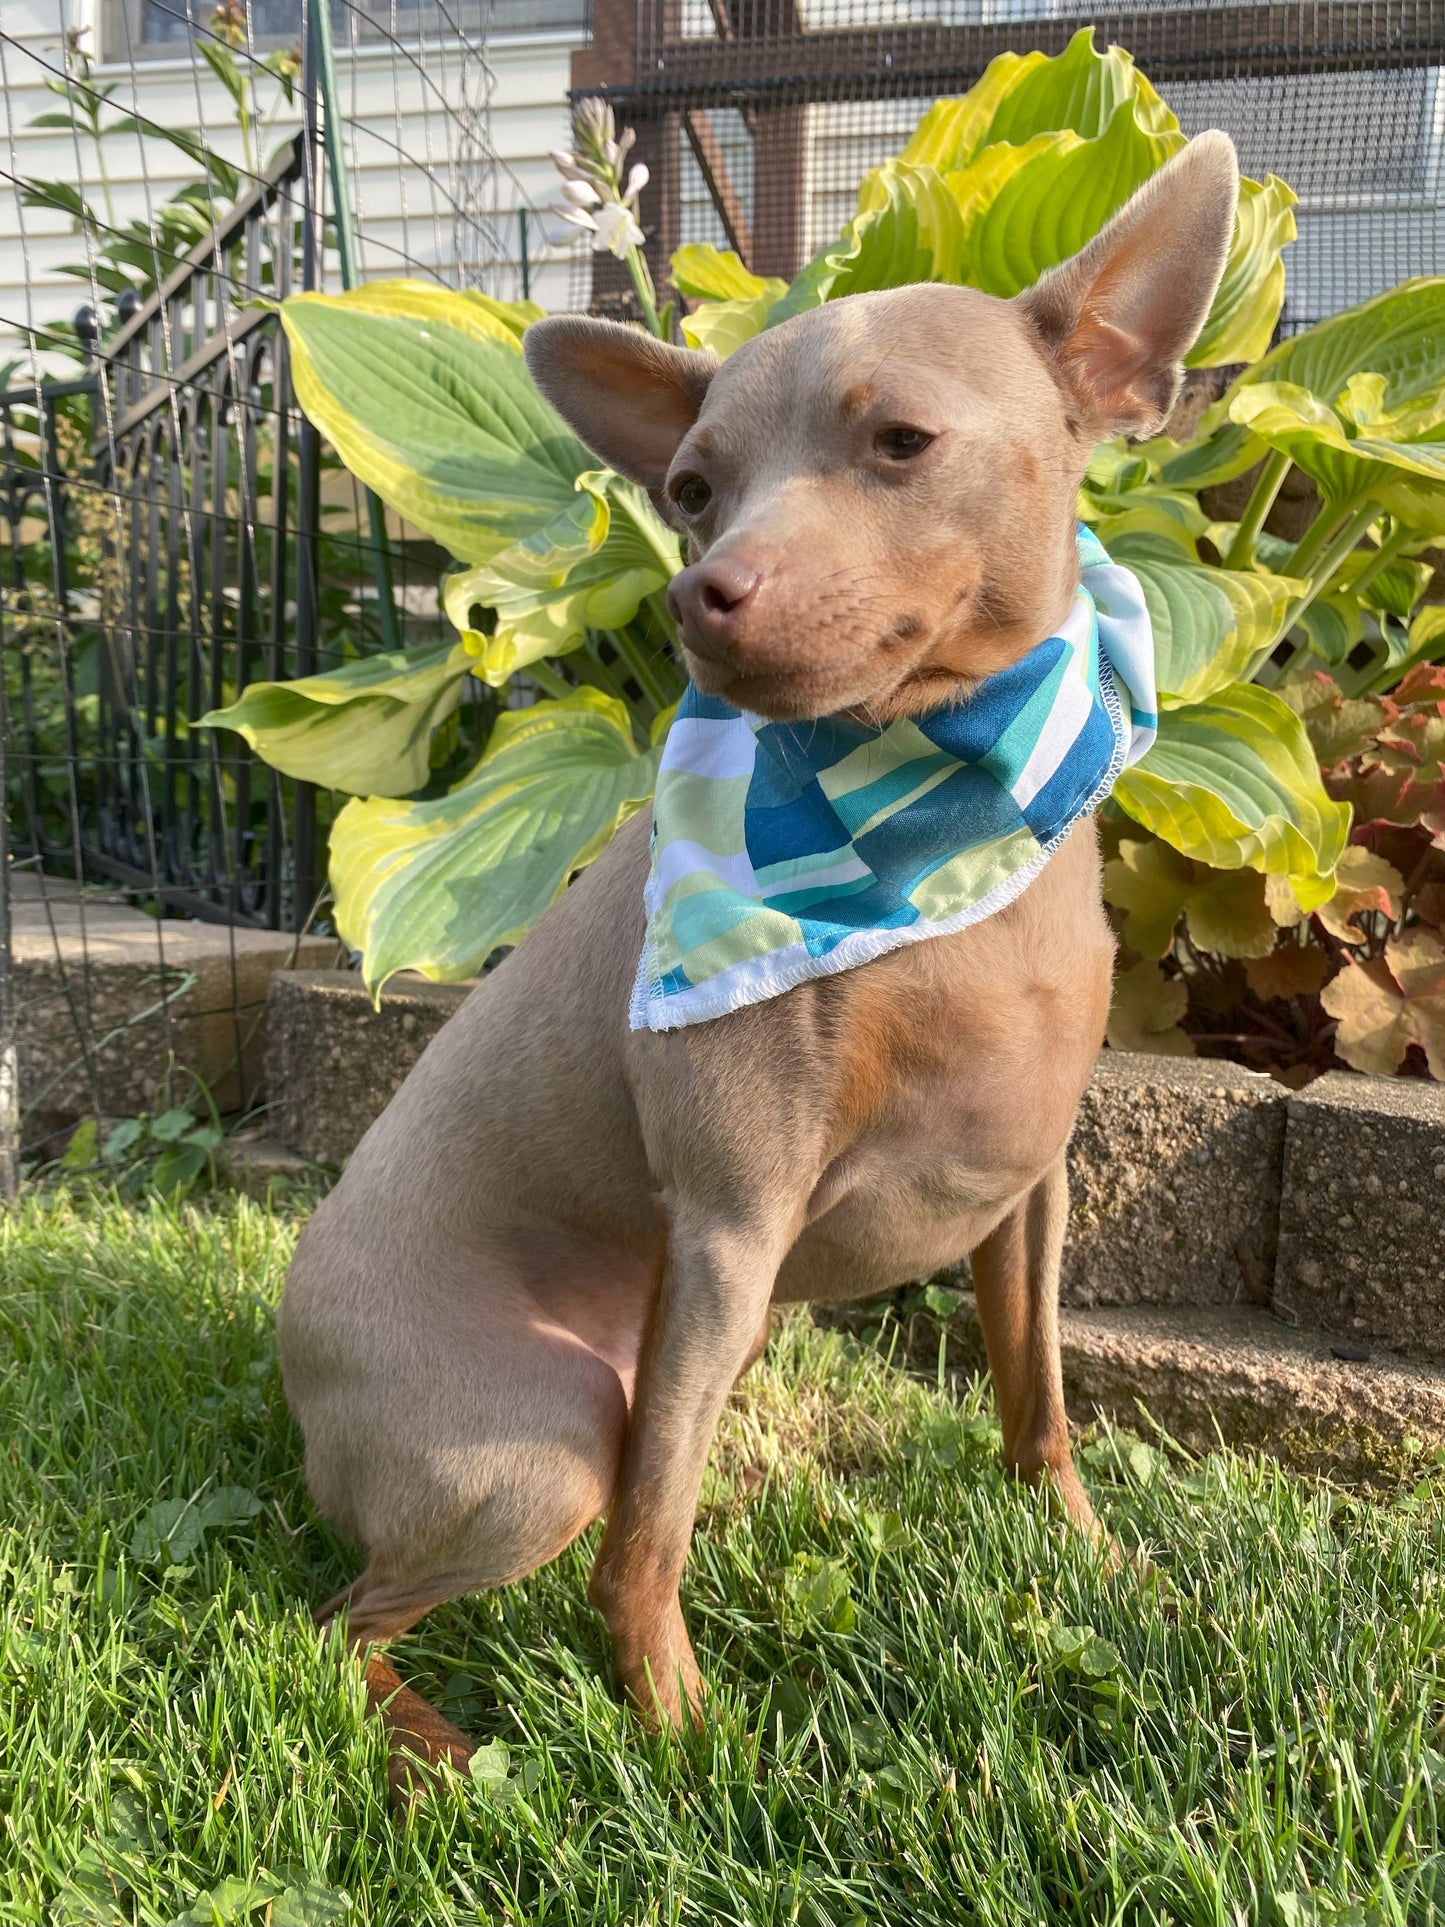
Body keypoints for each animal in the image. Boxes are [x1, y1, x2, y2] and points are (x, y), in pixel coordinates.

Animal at [283, 131, 1248, 1788]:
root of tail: (293, 1338)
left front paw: (1089, 1555)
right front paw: (675, 1729)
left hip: (650, 1368)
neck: (940, 818)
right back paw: (440, 1753)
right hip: (542, 1439)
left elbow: (1038, 1399)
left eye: (903, 442)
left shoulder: (1028, 1197)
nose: (693, 591)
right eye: (689, 490)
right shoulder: (732, 1225)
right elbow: (641, 1555)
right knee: (355, 1616)